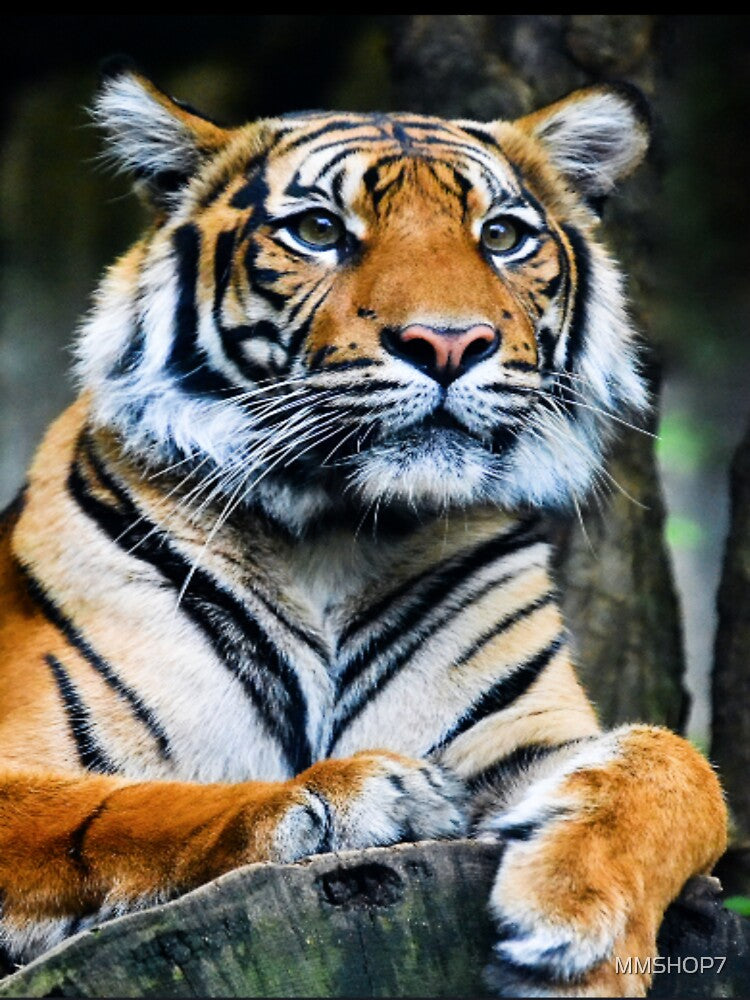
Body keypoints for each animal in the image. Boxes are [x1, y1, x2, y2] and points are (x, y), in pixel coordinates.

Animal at [0, 62, 727, 998]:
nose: (449, 344)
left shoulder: (525, 739)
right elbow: (122, 806)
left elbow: (678, 769)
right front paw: (351, 798)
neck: (336, 536)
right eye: (318, 230)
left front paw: (581, 927)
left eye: (502, 236)